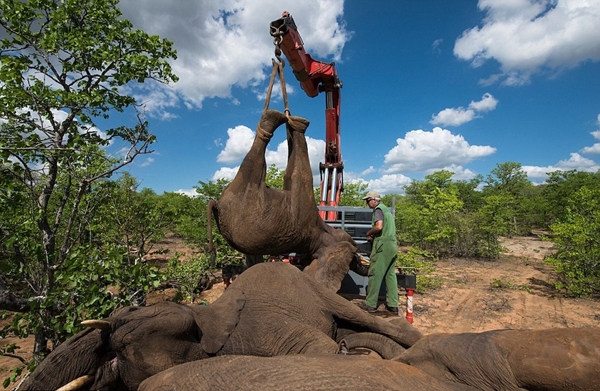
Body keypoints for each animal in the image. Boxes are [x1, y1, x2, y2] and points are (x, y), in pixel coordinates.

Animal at [207, 108, 356, 292]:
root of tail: (216, 204)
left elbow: (296, 174)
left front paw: (295, 123)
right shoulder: (305, 212)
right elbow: (298, 174)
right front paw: (295, 122)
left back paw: (274, 118)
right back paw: (277, 117)